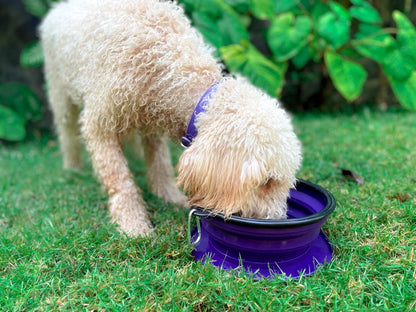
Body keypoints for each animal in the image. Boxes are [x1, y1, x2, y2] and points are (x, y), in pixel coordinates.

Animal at [39, 0, 302, 235]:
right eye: (266, 181)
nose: (278, 221)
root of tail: (59, 7)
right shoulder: (100, 123)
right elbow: (119, 179)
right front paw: (133, 223)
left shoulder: (151, 118)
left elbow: (160, 163)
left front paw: (169, 196)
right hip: (60, 92)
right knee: (66, 132)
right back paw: (72, 167)